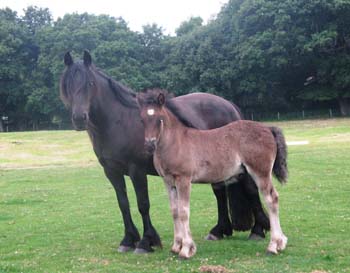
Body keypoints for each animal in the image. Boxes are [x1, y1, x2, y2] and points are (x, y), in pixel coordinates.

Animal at [59, 50, 268, 252]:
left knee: (250, 189)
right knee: (220, 192)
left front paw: (146, 242)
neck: (117, 122)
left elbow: (143, 204)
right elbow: (123, 204)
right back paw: (219, 231)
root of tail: (230, 106)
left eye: (90, 83)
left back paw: (257, 231)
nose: (79, 118)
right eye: (68, 85)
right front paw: (128, 240)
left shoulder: (137, 171)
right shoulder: (112, 172)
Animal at [136, 89, 288, 258]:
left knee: (271, 199)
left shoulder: (183, 179)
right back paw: (280, 243)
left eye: (159, 119)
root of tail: (268, 129)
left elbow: (183, 211)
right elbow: (174, 211)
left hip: (260, 172)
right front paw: (176, 246)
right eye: (142, 120)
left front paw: (186, 249)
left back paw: (273, 246)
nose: (150, 145)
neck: (176, 142)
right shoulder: (168, 181)